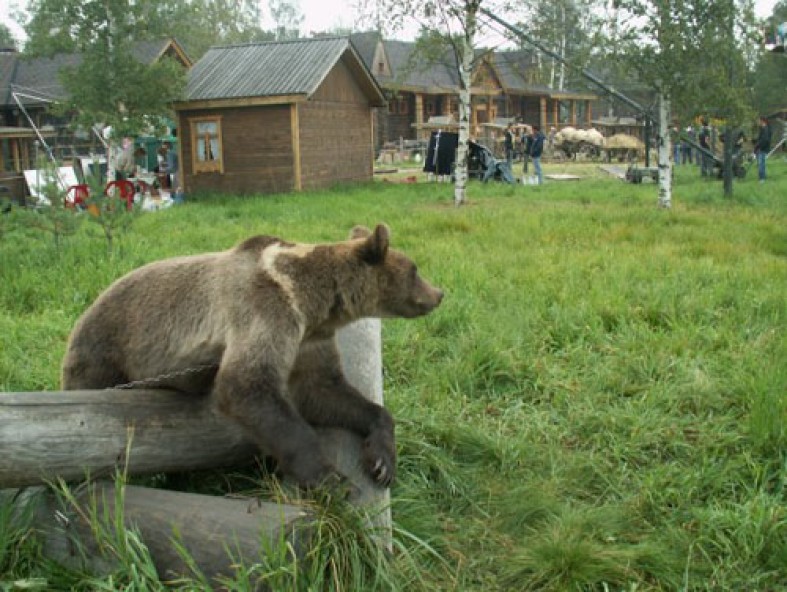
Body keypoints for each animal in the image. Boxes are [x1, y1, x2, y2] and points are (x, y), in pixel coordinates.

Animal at [63, 224, 444, 488]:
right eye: (415, 270)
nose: (439, 292)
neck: (310, 301)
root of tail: (82, 316)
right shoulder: (265, 309)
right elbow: (246, 384)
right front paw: (329, 477)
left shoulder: (308, 340)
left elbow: (325, 391)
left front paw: (381, 462)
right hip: (104, 352)